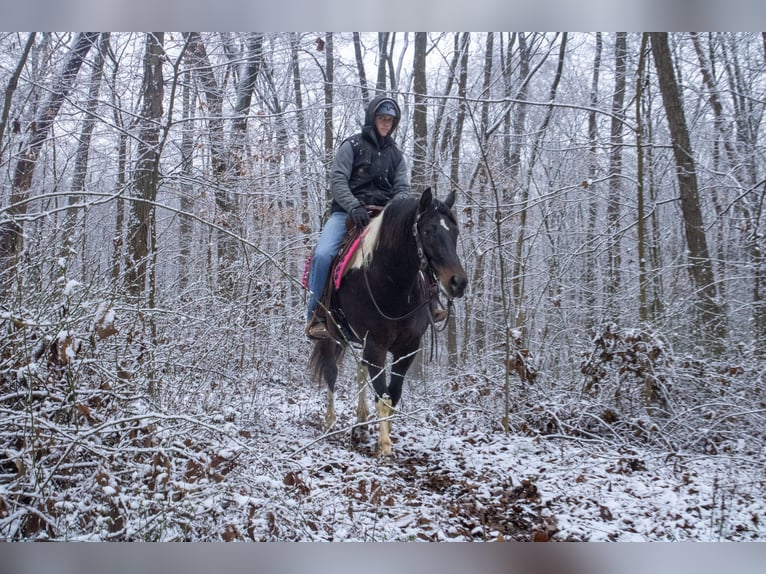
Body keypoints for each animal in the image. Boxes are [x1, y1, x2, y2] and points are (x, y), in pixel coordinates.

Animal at [310, 189, 468, 460]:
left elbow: (393, 394)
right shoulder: (376, 345)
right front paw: (384, 445)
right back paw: (330, 423)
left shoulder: (408, 348)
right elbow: (382, 394)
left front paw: (385, 432)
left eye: (455, 231)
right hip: (332, 335)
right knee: (332, 373)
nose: (458, 282)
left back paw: (361, 422)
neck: (393, 285)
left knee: (360, 372)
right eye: (428, 231)